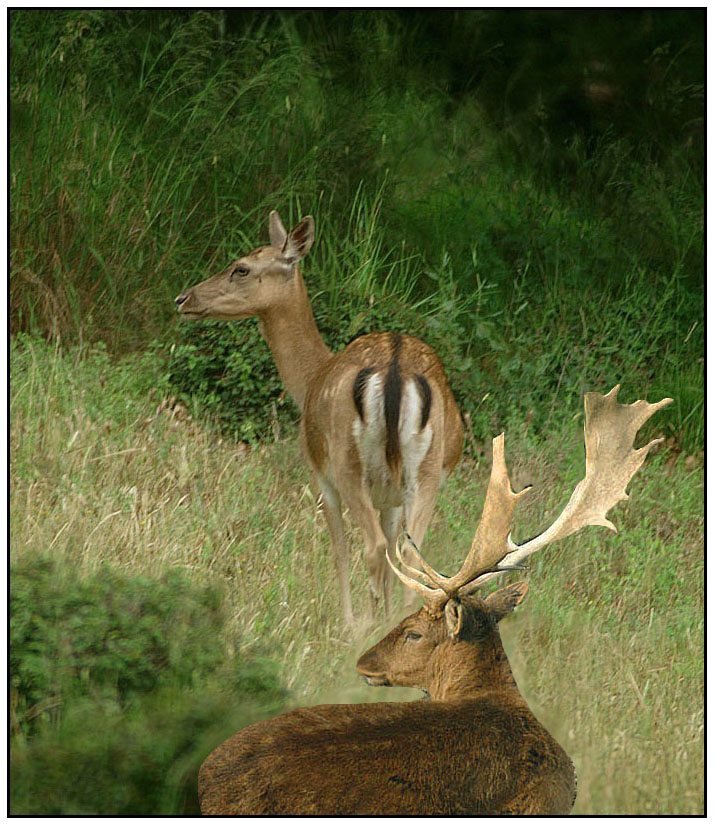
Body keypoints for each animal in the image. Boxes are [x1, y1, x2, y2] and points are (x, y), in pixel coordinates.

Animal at [174, 212, 462, 624]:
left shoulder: (319, 475)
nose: (183, 299)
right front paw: (384, 617)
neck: (309, 379)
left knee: (372, 548)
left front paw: (351, 623)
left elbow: (338, 551)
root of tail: (394, 370)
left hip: (348, 463)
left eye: (241, 268)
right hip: (427, 473)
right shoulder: (390, 498)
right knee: (410, 555)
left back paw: (361, 628)